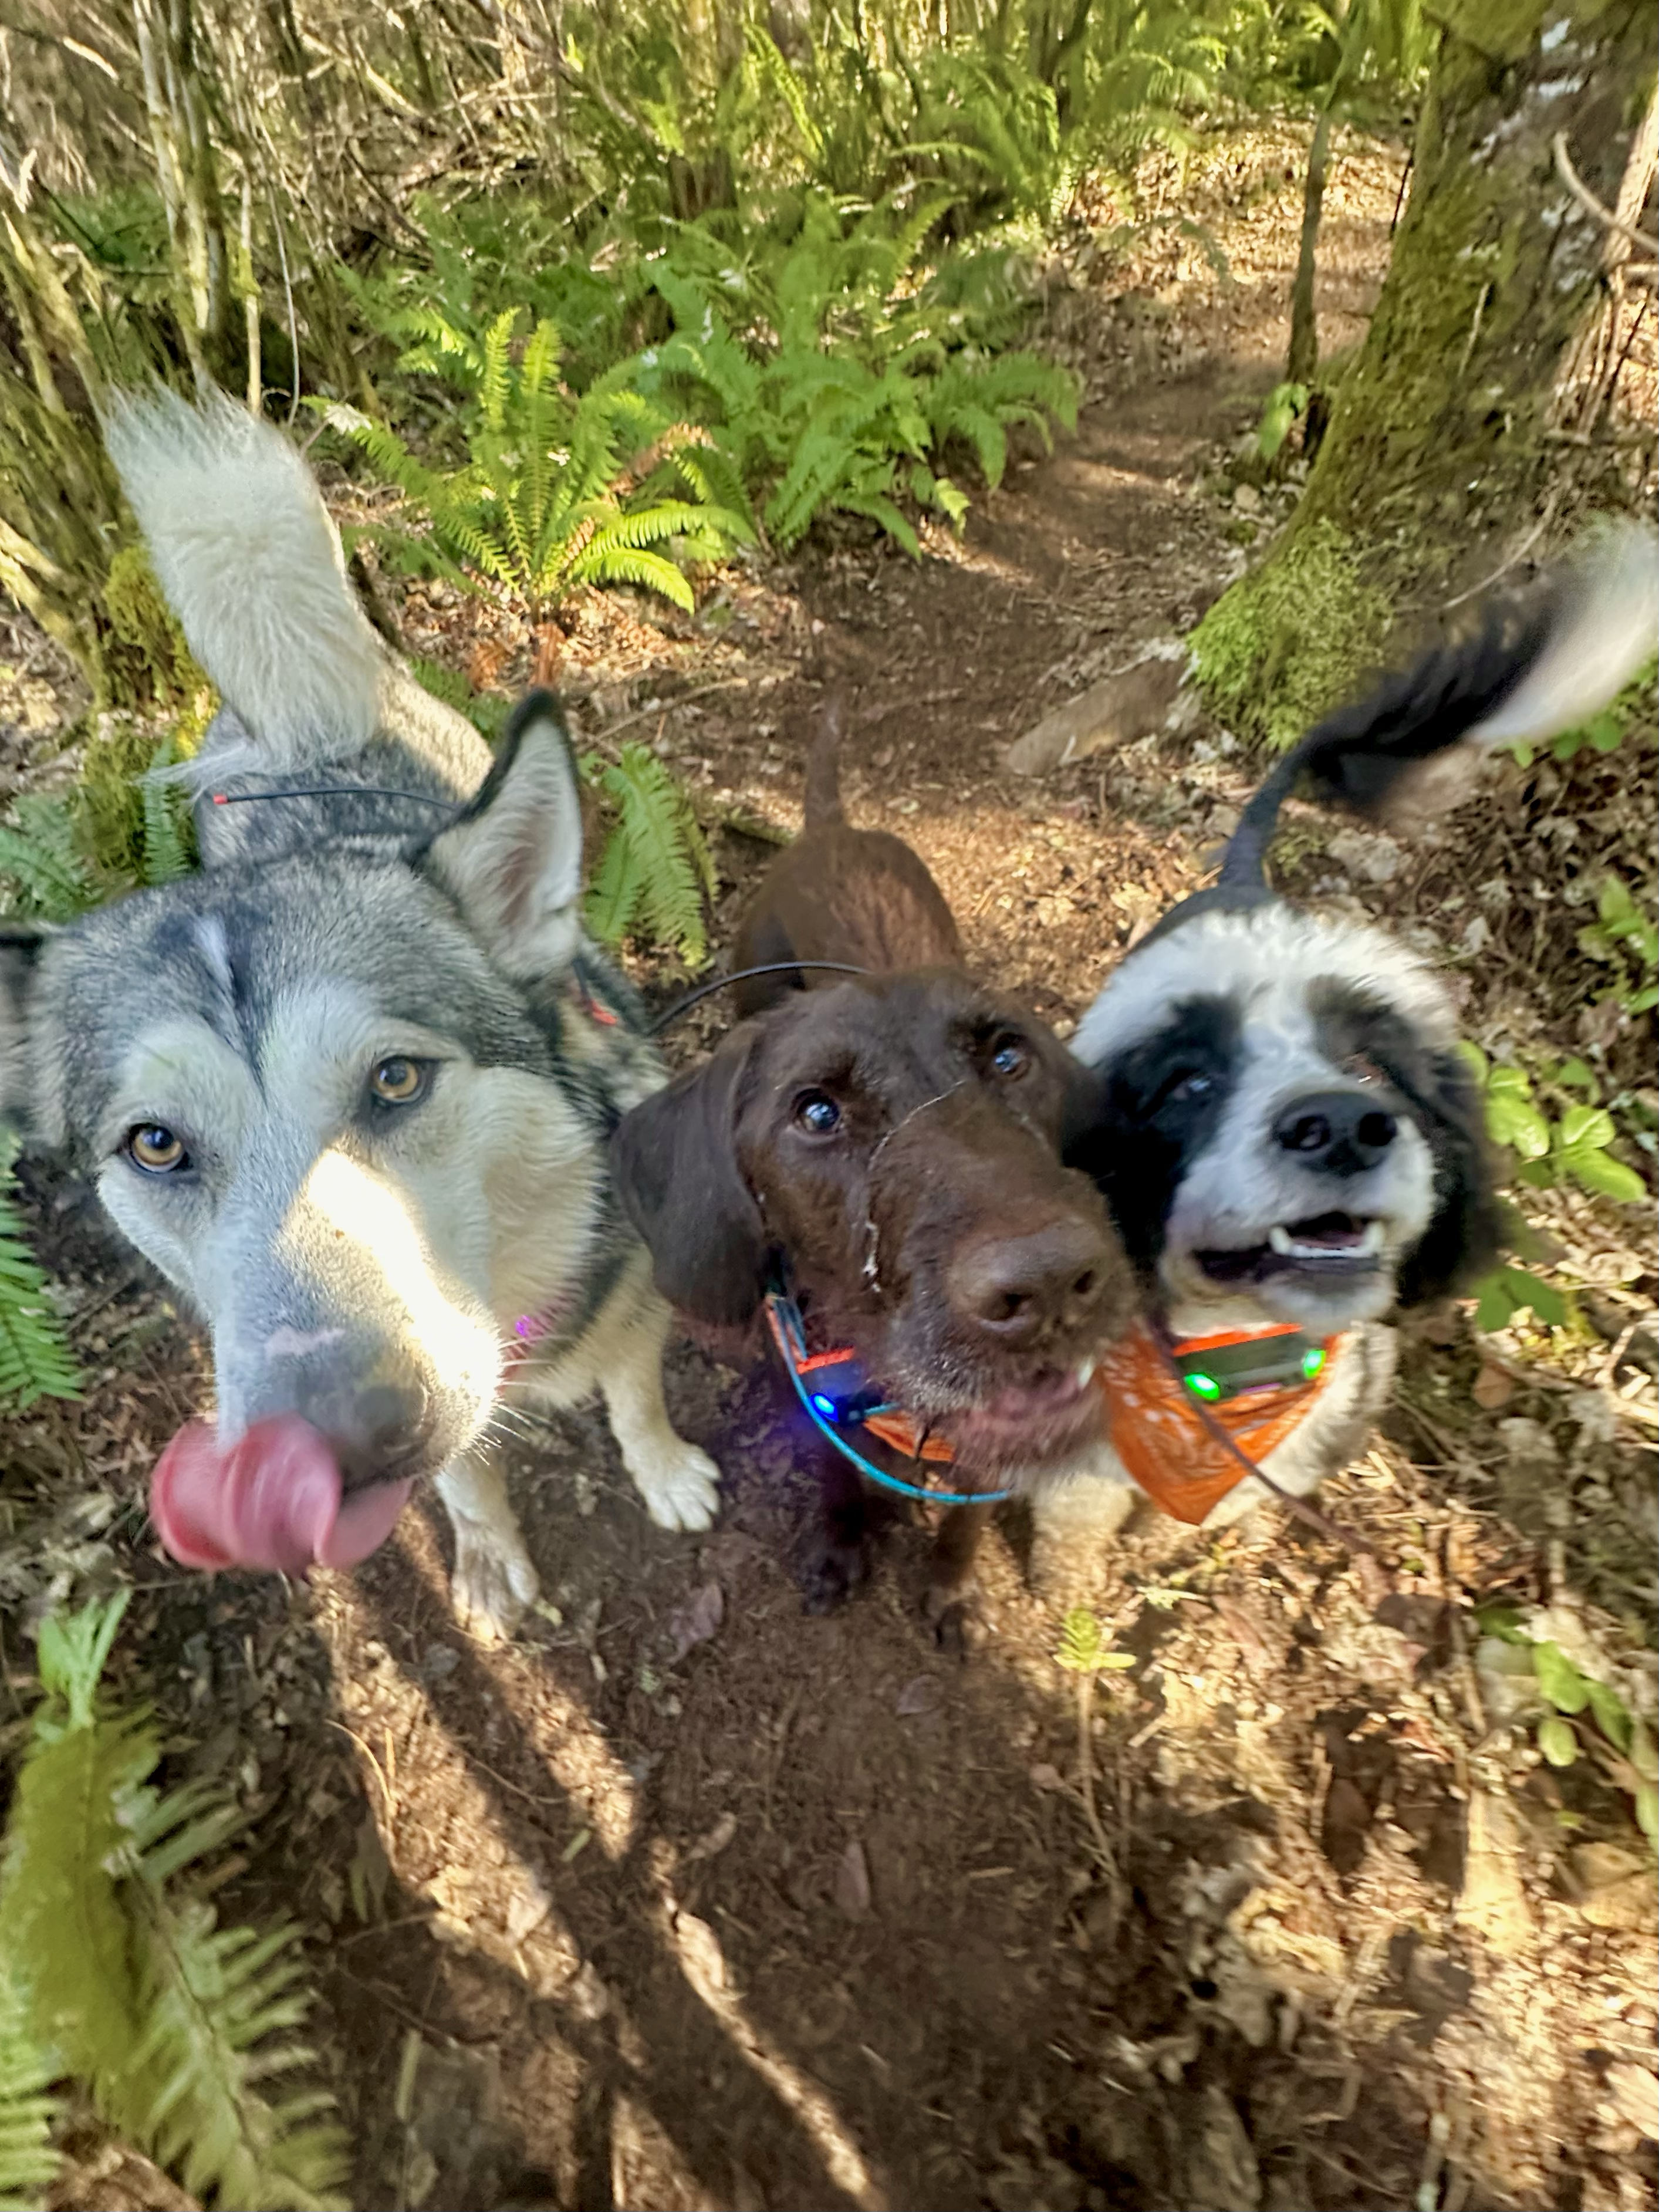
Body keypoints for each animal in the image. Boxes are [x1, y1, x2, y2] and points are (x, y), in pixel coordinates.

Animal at [0, 393, 721, 1646]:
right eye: (156, 1143)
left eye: (395, 1078)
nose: (334, 1445)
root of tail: (303, 730)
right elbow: (467, 1479)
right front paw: (488, 1555)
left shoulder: (634, 1295)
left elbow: (636, 1395)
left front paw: (666, 1469)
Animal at [1035, 526, 1654, 1566]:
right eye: (1185, 1085)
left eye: (1373, 1067)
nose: (1338, 1124)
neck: (1236, 1366)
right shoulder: (1077, 1459)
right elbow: (1067, 1538)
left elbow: (1201, 1517)